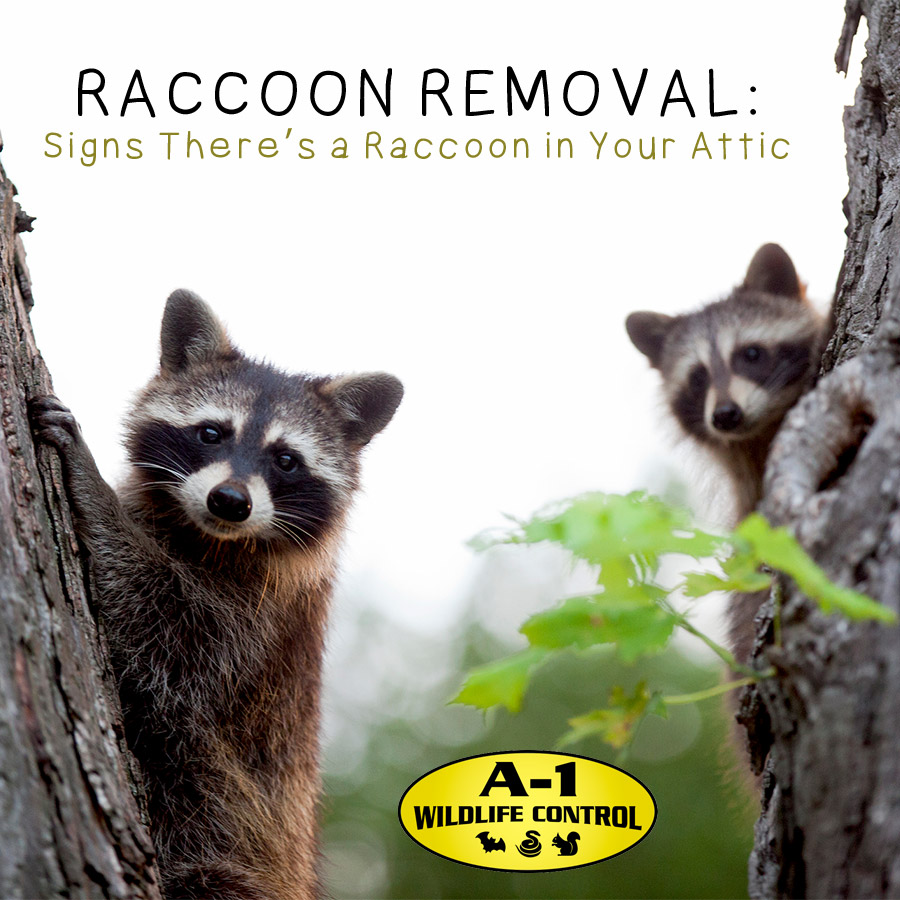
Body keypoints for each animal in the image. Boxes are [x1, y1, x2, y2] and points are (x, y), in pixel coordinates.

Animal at [31, 290, 403, 900]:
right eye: (211, 433)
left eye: (286, 460)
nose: (230, 501)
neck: (208, 534)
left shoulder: (258, 622)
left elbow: (165, 625)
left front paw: (92, 486)